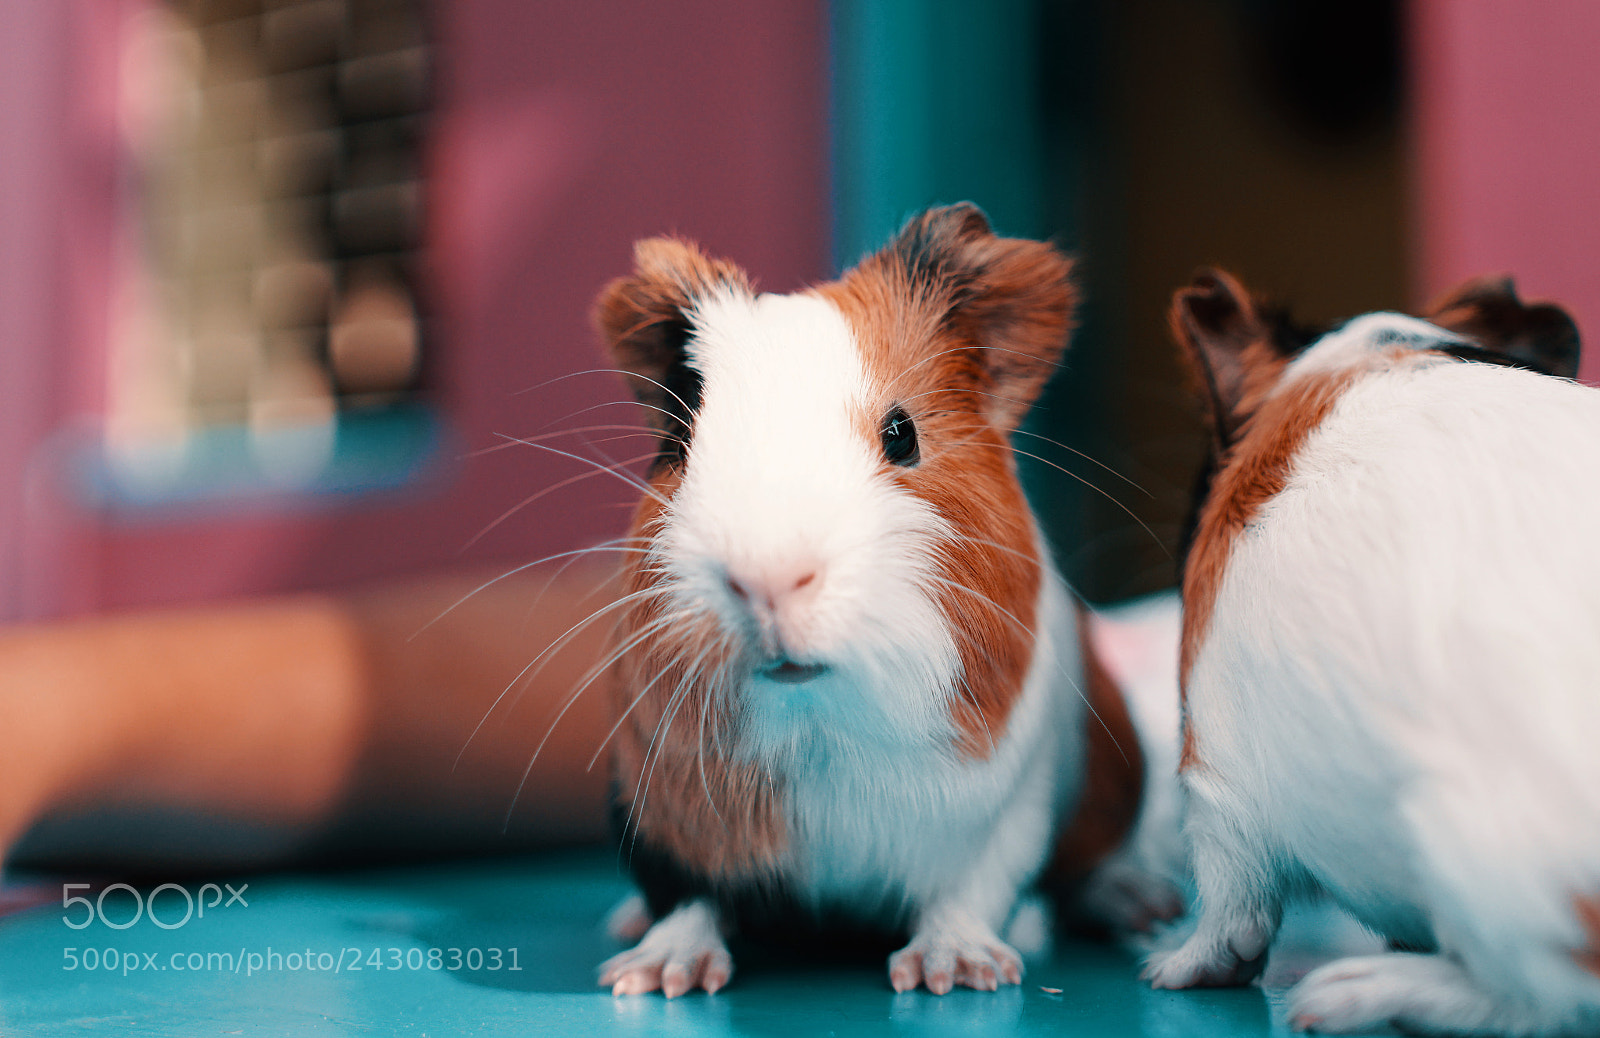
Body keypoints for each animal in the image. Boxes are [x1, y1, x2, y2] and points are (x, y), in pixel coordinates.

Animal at [590, 204, 1183, 997]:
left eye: (901, 435)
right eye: (682, 444)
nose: (769, 577)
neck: (818, 726)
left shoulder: (1007, 814)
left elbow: (970, 891)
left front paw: (955, 974)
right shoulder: (660, 813)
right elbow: (687, 898)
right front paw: (651, 978)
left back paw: (1147, 907)